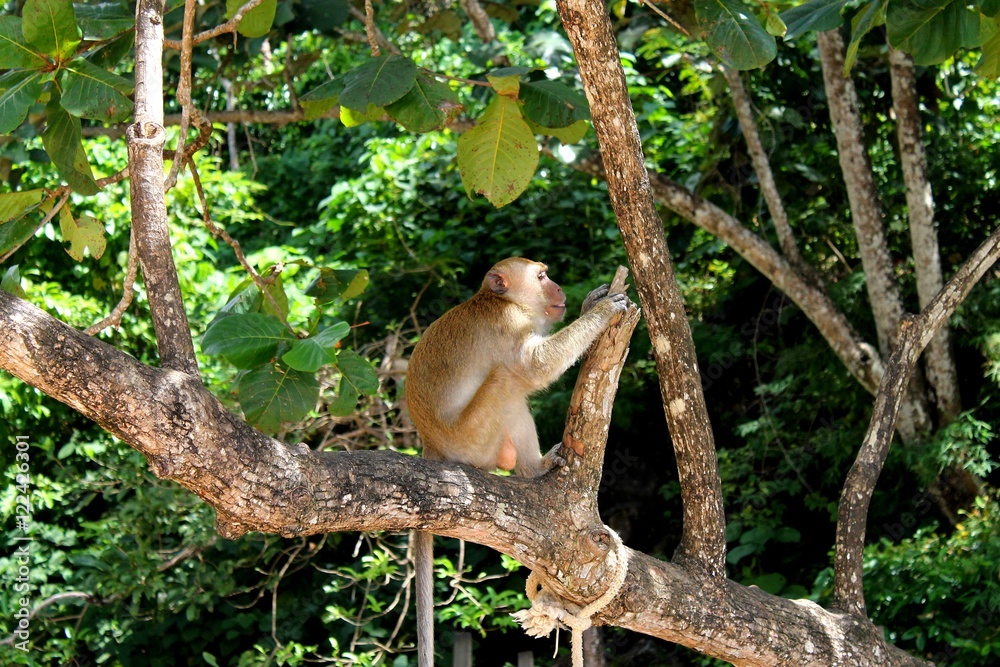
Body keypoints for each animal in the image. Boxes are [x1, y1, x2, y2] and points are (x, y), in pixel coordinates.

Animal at [404, 257, 627, 667]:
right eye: (541, 276)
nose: (557, 288)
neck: (501, 301)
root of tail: (430, 443)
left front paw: (591, 303)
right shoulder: (509, 324)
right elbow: (534, 365)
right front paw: (603, 312)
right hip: (473, 440)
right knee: (508, 381)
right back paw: (531, 469)